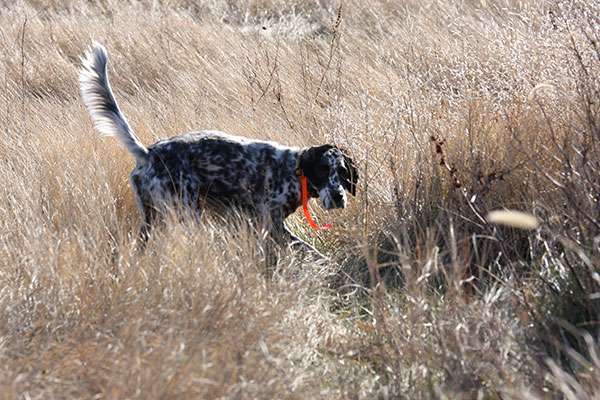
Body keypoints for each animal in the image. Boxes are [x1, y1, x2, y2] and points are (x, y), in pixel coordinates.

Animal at [78, 43, 356, 250]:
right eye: (323, 171)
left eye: (342, 173)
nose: (339, 196)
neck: (292, 171)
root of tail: (149, 154)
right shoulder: (272, 224)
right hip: (185, 212)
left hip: (152, 220)